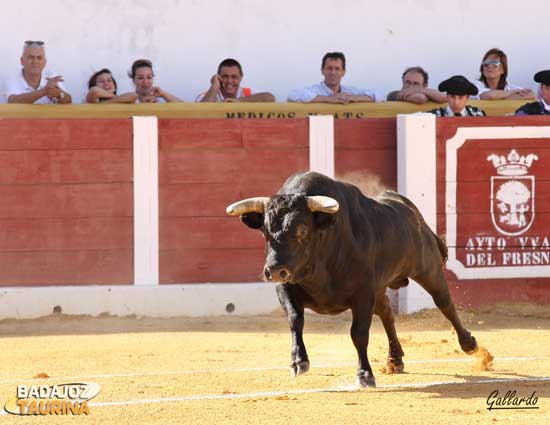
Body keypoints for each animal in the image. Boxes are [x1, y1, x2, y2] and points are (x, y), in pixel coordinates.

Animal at [225, 171, 478, 386]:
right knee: (387, 313)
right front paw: (298, 361)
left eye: (302, 230)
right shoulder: (286, 287)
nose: (275, 270)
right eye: (265, 231)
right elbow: (295, 320)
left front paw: (365, 375)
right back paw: (395, 360)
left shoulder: (362, 293)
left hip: (428, 269)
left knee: (444, 303)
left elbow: (359, 333)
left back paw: (469, 344)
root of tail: (410, 210)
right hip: (379, 290)